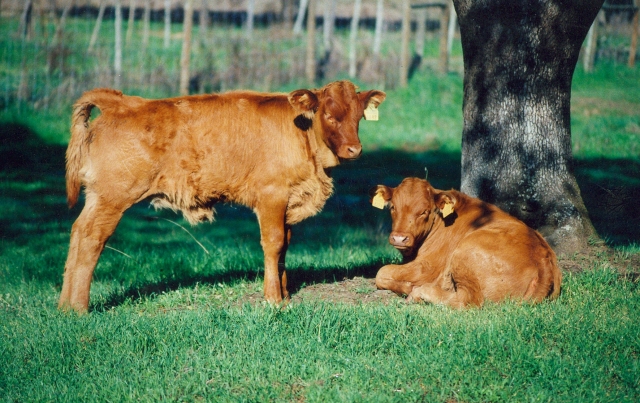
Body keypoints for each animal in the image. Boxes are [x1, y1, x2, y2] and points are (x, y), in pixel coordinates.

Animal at [60, 81, 384, 312]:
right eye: (329, 115)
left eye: (359, 116)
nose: (355, 149)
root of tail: (122, 102)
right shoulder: (272, 196)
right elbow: (274, 243)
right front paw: (273, 299)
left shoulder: (288, 201)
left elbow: (285, 246)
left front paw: (285, 294)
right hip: (112, 198)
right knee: (92, 238)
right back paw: (79, 307)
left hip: (97, 198)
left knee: (78, 232)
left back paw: (65, 306)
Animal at [370, 178, 560, 308]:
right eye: (393, 207)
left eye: (424, 211)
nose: (399, 238)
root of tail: (544, 258)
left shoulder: (427, 266)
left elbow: (381, 272)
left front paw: (408, 286)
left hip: (464, 254)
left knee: (468, 301)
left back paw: (419, 293)